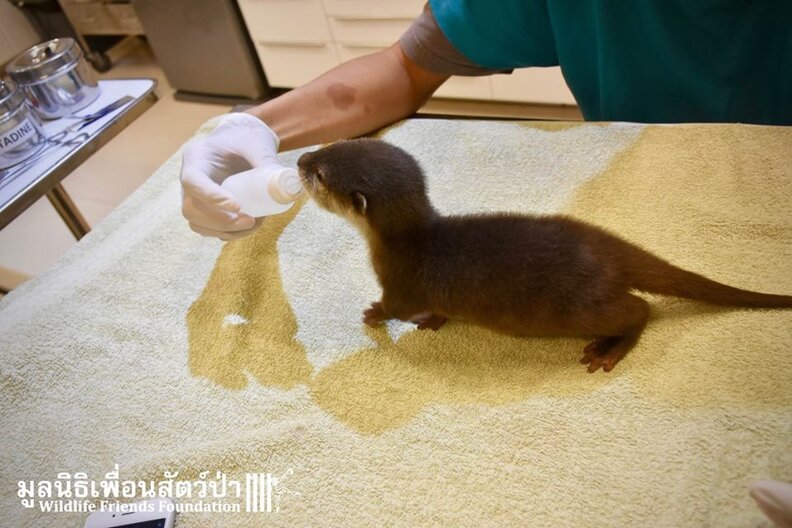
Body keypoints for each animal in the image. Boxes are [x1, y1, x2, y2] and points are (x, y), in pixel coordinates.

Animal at [296, 139, 792, 373]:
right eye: (331, 145)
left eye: (320, 173)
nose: (300, 158)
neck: (405, 240)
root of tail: (606, 248)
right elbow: (435, 309)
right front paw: (433, 320)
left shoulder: (400, 282)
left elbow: (395, 307)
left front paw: (372, 314)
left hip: (582, 306)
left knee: (640, 309)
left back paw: (608, 352)